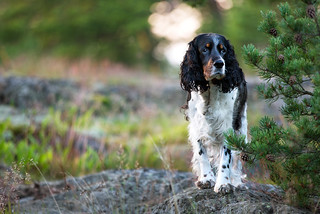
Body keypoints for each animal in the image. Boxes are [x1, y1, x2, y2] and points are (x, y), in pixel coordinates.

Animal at [180, 33, 248, 192]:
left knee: (237, 159)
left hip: (241, 127)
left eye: (223, 50)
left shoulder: (228, 128)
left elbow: (226, 159)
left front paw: (223, 183)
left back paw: (236, 182)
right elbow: (201, 155)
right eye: (205, 49)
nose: (219, 63)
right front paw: (206, 179)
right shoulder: (196, 126)